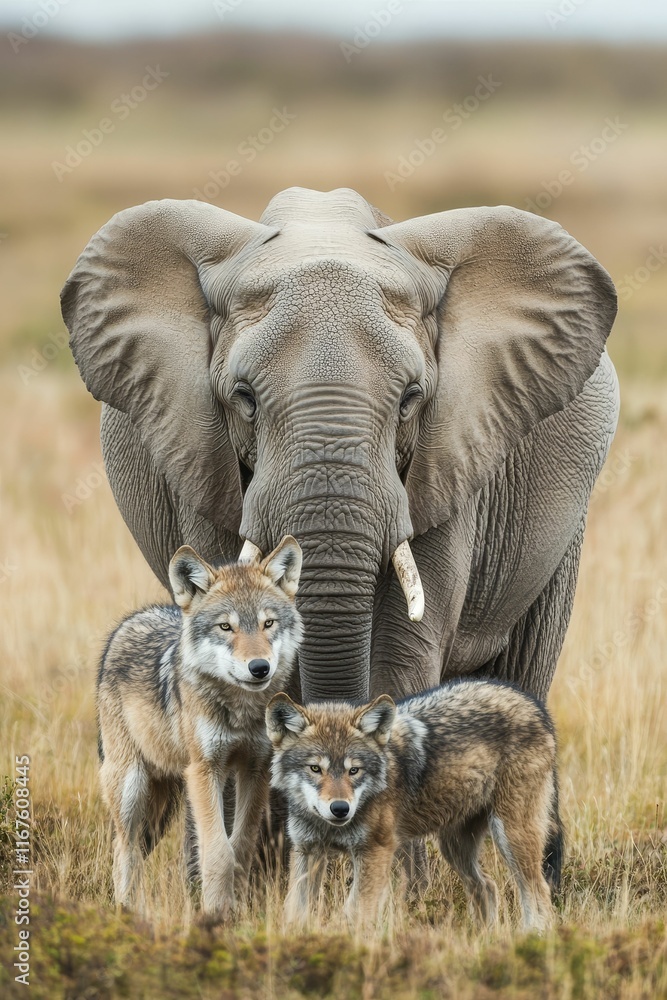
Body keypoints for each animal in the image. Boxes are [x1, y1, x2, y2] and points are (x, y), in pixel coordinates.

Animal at [97, 535, 302, 918]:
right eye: (226, 627)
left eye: (268, 624)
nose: (259, 668)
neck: (239, 709)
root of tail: (130, 620)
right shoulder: (205, 770)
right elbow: (218, 850)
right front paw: (216, 914)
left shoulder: (255, 769)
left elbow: (240, 845)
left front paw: (236, 909)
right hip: (132, 788)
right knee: (123, 848)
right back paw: (129, 912)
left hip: (163, 798)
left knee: (134, 848)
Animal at [267, 679, 562, 930]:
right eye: (315, 769)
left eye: (354, 771)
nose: (340, 809)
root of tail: (533, 703)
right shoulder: (308, 851)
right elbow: (294, 911)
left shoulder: (375, 851)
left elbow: (356, 912)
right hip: (455, 848)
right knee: (487, 886)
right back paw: (484, 939)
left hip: (510, 837)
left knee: (538, 891)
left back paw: (534, 938)